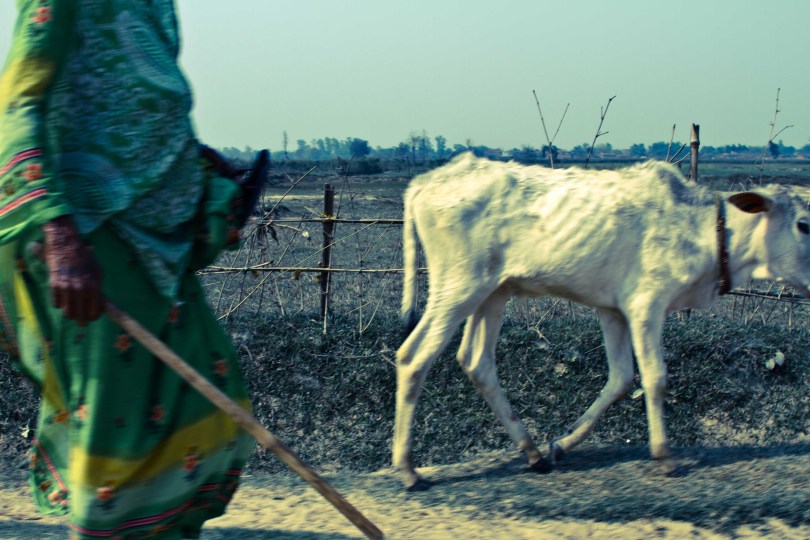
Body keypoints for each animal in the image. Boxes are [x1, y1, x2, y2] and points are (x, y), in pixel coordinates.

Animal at [393, 152, 810, 490]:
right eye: (804, 224)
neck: (706, 232)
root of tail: (430, 178)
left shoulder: (614, 311)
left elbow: (621, 379)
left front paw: (561, 444)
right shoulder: (646, 306)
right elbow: (655, 378)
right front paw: (664, 455)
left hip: (493, 292)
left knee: (476, 361)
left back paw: (532, 451)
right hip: (457, 287)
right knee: (414, 356)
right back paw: (408, 469)